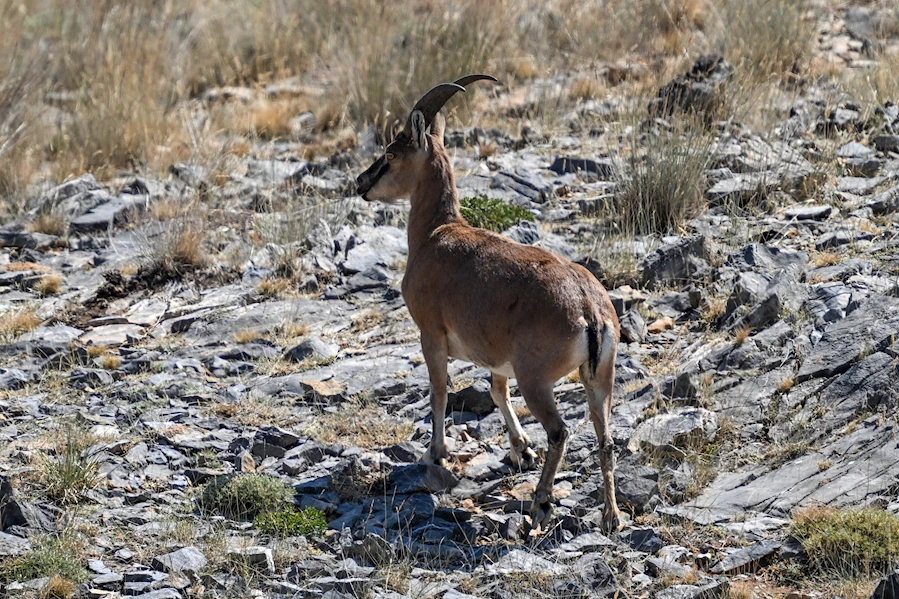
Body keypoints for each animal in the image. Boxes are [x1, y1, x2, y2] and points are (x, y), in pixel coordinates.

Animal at [355, 75, 622, 533]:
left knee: (561, 432)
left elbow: (439, 391)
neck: (436, 234)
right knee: (605, 439)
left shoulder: (431, 334)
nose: (361, 183)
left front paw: (435, 453)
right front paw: (520, 449)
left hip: (538, 381)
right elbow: (497, 392)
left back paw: (541, 504)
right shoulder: (498, 357)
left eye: (391, 153)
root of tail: (590, 310)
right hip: (599, 379)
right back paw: (611, 517)